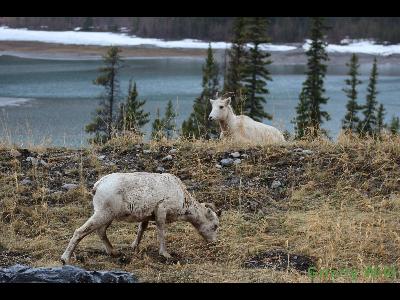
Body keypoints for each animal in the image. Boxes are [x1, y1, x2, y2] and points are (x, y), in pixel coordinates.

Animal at [61, 172, 220, 264]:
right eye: (215, 226)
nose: (214, 243)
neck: (183, 199)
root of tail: (98, 185)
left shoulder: (147, 216)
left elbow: (141, 229)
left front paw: (134, 246)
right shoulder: (161, 210)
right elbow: (161, 231)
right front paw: (165, 254)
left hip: (107, 215)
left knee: (101, 231)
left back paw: (114, 252)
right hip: (103, 213)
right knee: (80, 231)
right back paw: (65, 259)